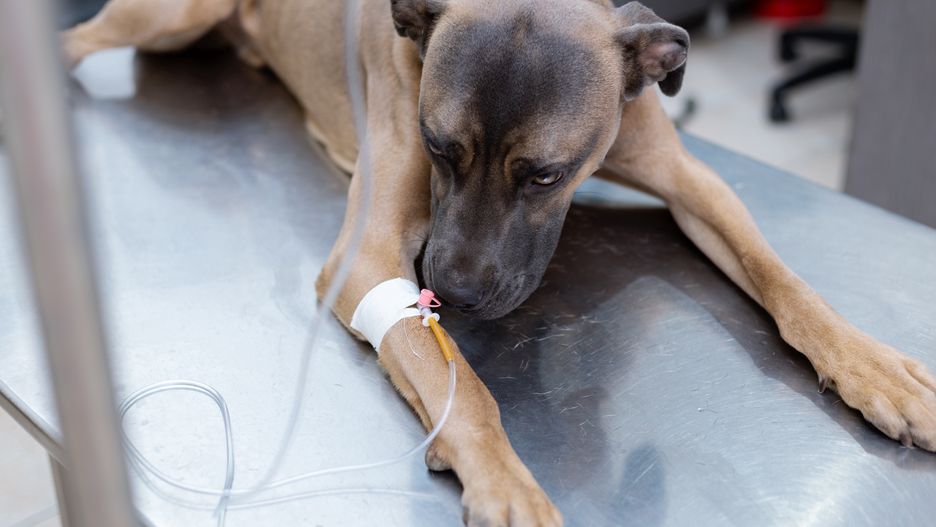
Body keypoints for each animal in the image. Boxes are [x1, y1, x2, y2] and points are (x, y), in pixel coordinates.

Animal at [64, 1, 936, 525]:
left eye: (544, 175)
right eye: (439, 146)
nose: (450, 290)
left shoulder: (694, 183)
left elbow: (782, 277)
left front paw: (875, 368)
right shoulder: (369, 260)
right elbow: (466, 387)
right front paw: (505, 479)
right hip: (169, 16)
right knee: (75, 44)